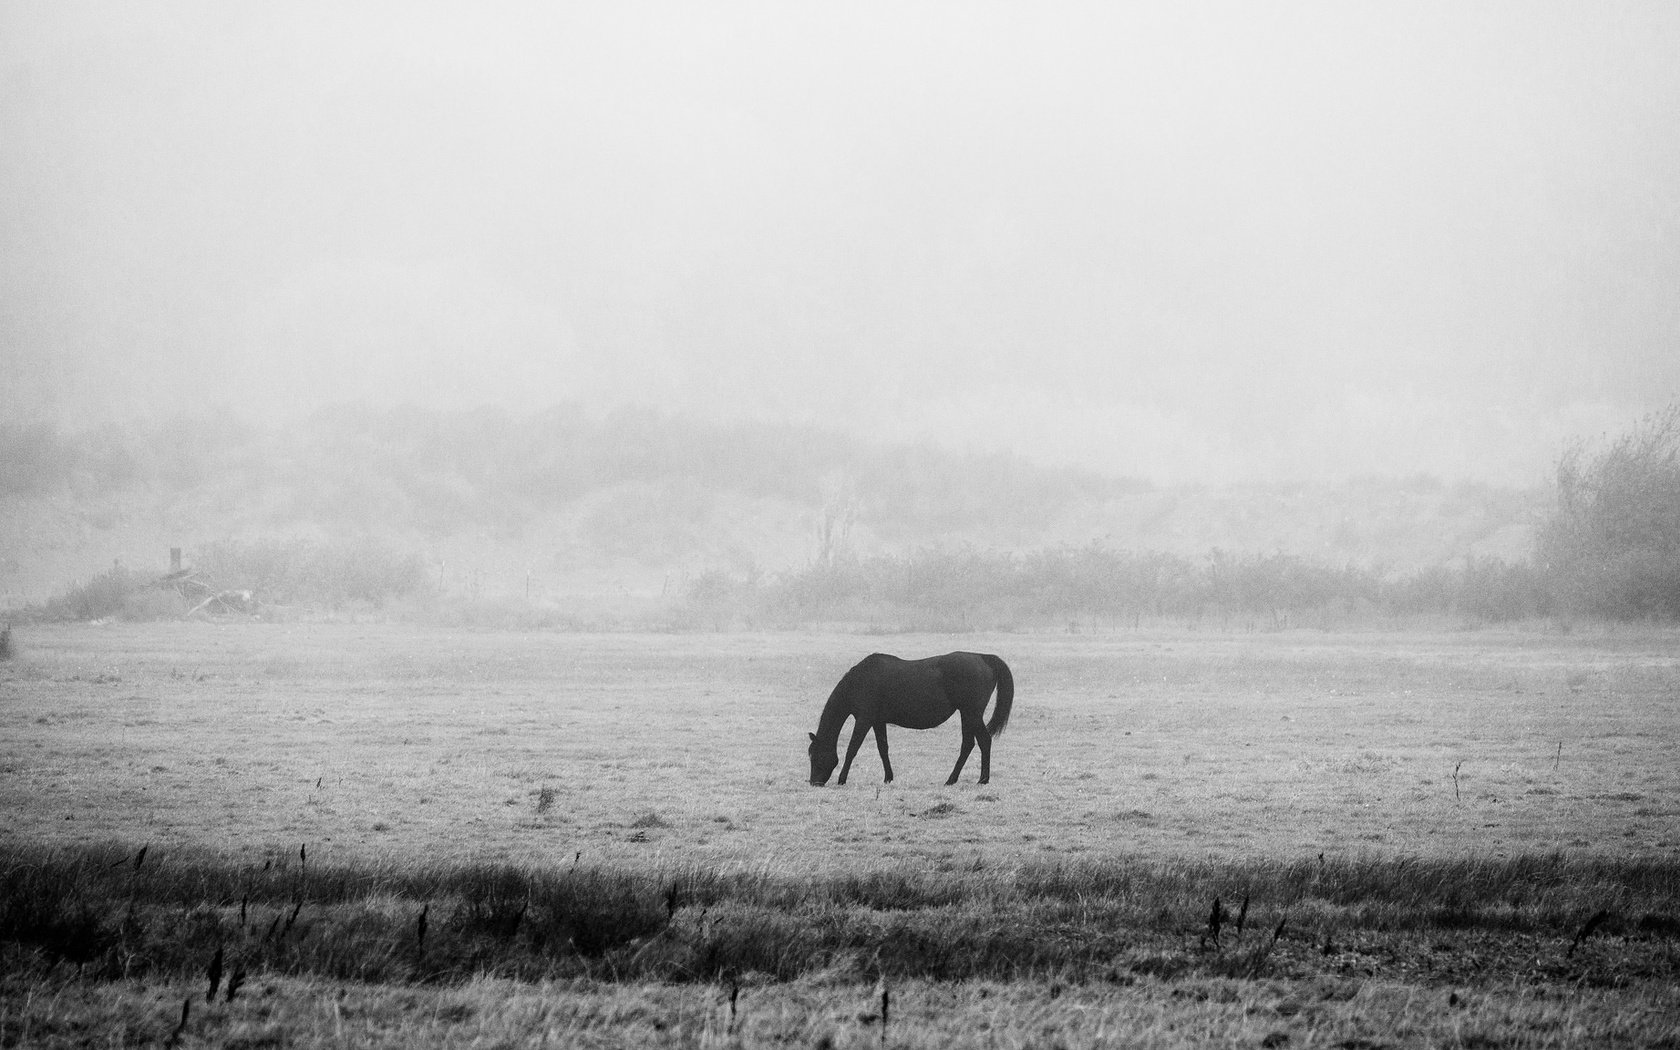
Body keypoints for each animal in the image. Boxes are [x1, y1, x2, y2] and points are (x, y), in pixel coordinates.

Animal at [809, 648, 1014, 786]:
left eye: (815, 756)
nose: (814, 782)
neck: (859, 682)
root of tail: (982, 657)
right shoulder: (878, 721)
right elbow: (883, 748)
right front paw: (888, 777)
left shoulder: (864, 719)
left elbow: (852, 749)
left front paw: (842, 779)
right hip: (968, 714)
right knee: (972, 743)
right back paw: (961, 779)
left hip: (971, 713)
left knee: (981, 741)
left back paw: (976, 779)